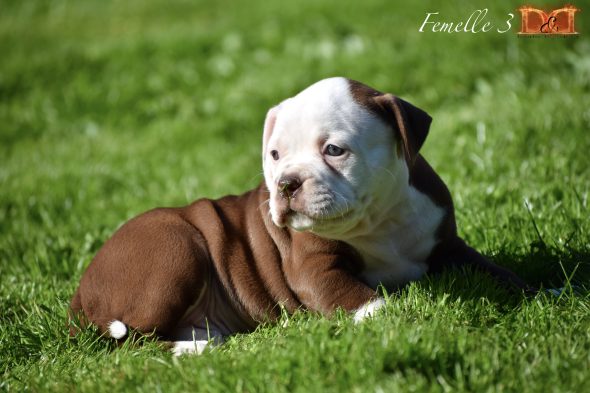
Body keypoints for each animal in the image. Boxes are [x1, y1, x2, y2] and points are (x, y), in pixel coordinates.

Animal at [70, 78, 532, 354]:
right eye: (274, 155)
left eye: (334, 149)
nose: (286, 184)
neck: (380, 220)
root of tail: (78, 298)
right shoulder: (312, 266)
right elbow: (360, 298)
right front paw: (400, 318)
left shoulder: (448, 244)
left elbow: (495, 271)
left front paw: (538, 290)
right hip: (174, 249)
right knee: (136, 343)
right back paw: (195, 348)